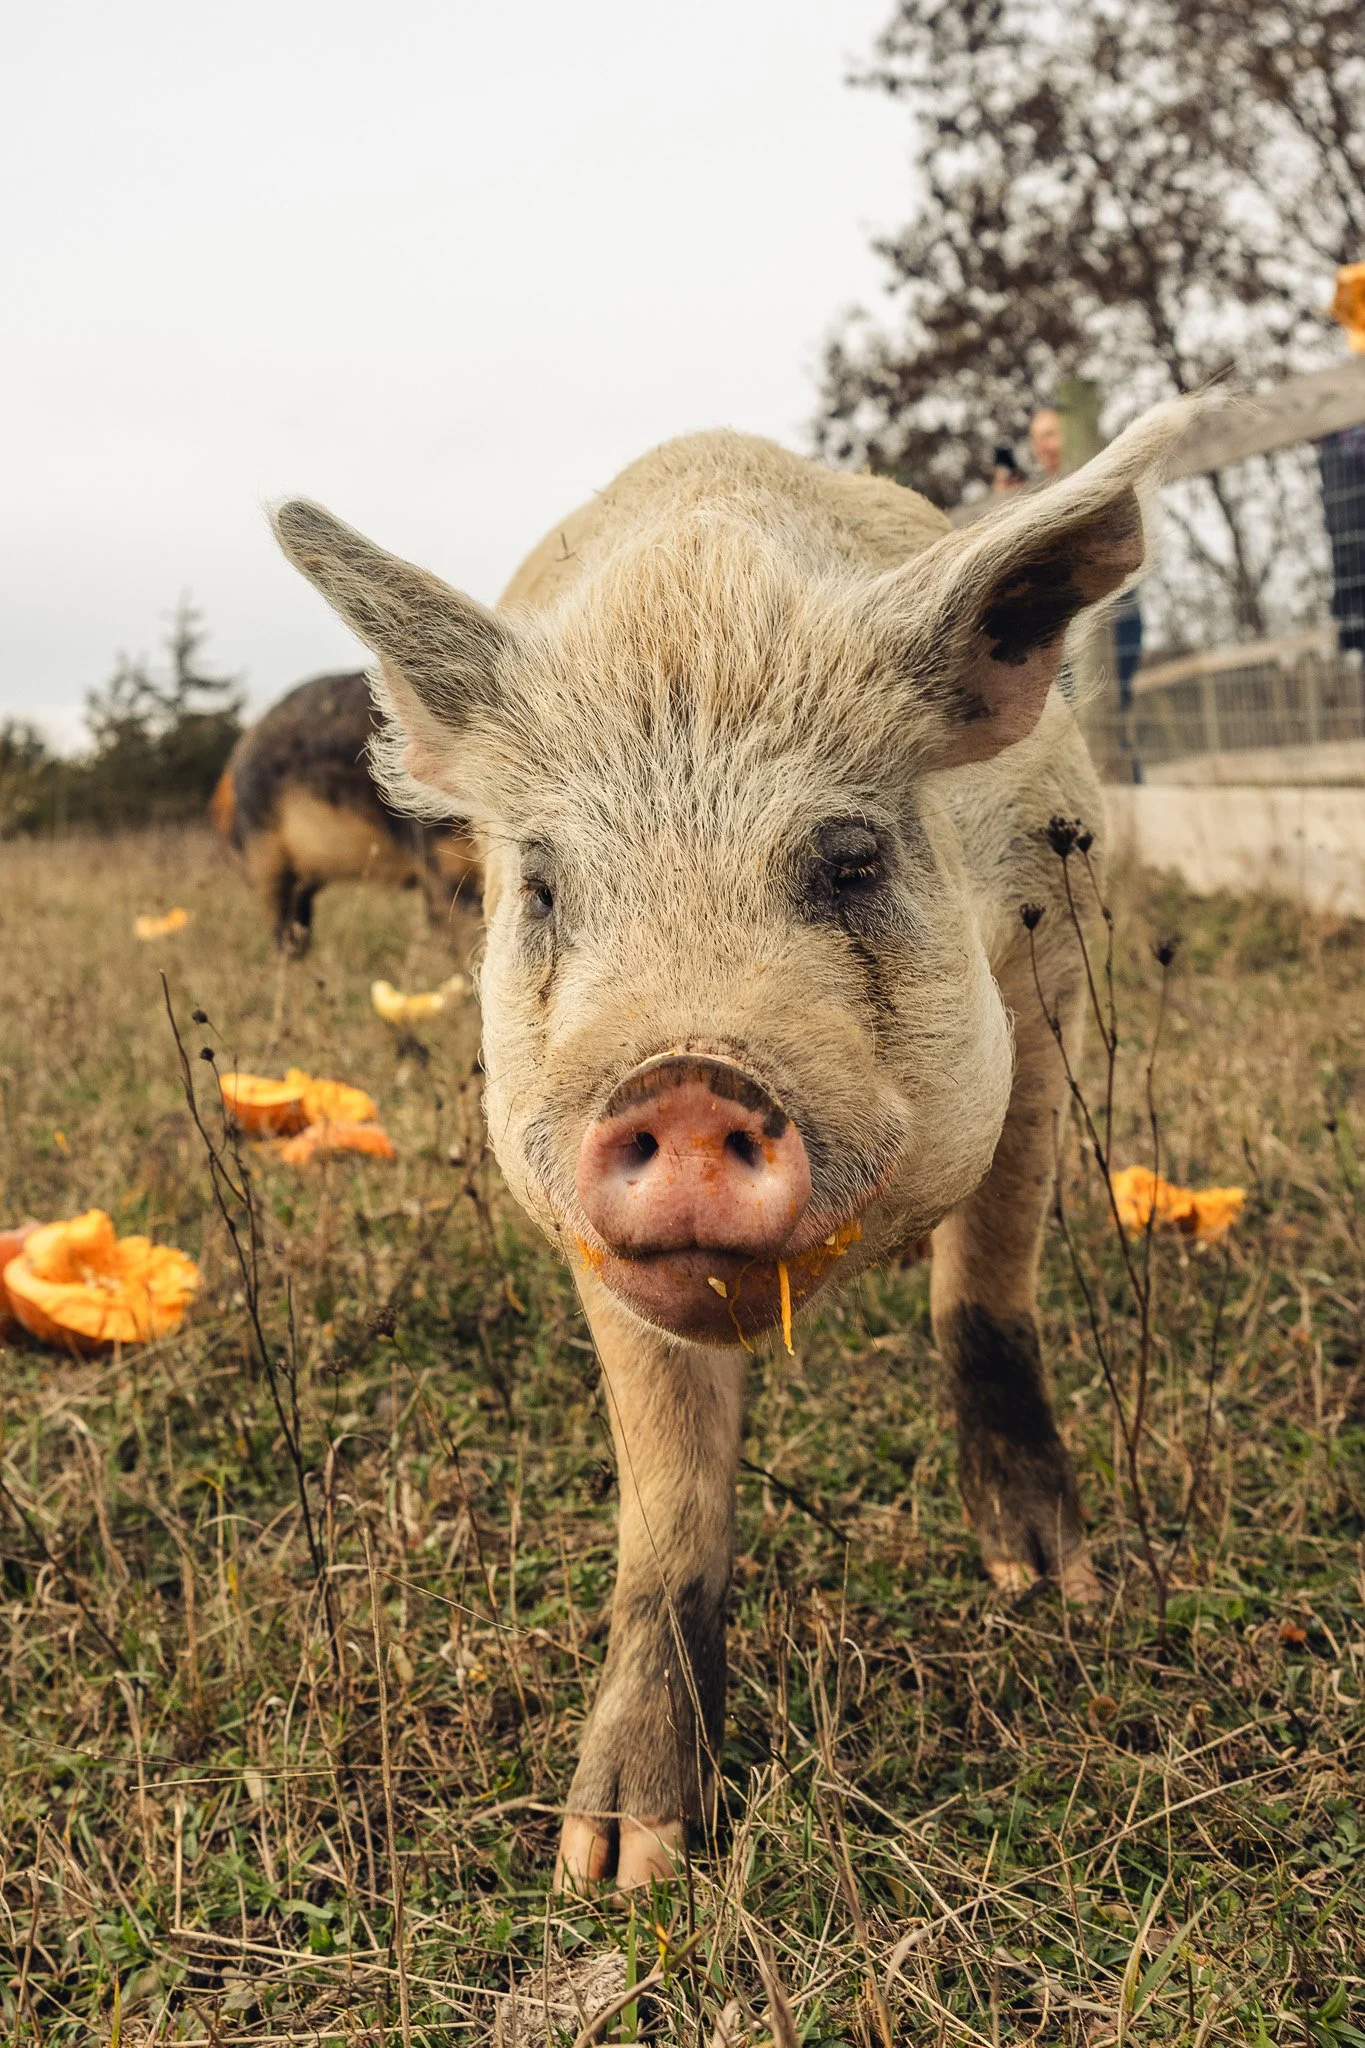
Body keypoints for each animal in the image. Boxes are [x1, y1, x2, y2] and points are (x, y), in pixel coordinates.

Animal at [272, 398, 1192, 1892]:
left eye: (852, 861)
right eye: (543, 886)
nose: (688, 1074)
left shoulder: (1048, 973)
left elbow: (987, 1282)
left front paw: (1056, 1588)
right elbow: (668, 1492)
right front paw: (616, 1864)